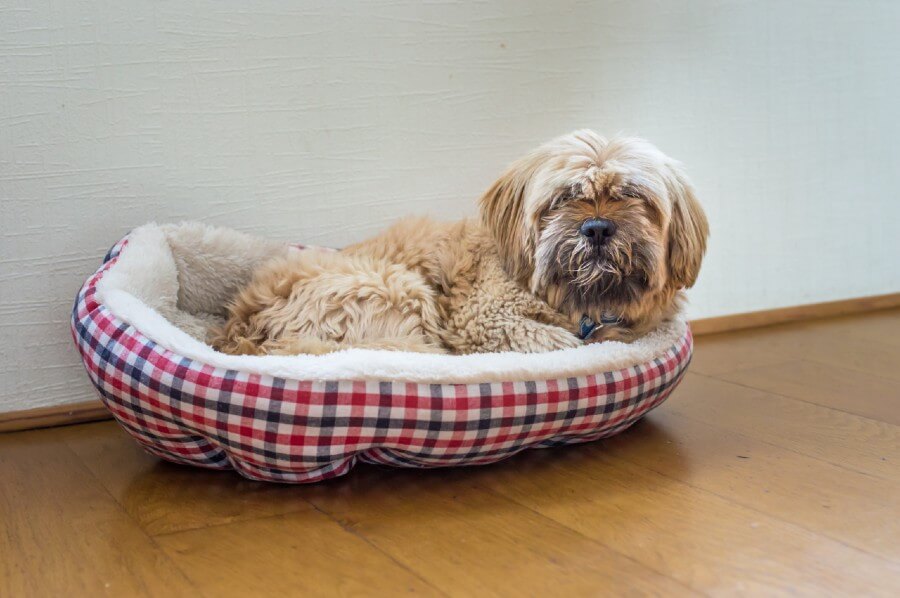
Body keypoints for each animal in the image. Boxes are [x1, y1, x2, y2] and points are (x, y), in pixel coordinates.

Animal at [213, 130, 712, 356]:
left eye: (632, 196)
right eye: (565, 198)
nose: (597, 228)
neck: (581, 304)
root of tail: (242, 327)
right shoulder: (486, 317)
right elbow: (556, 341)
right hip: (398, 290)